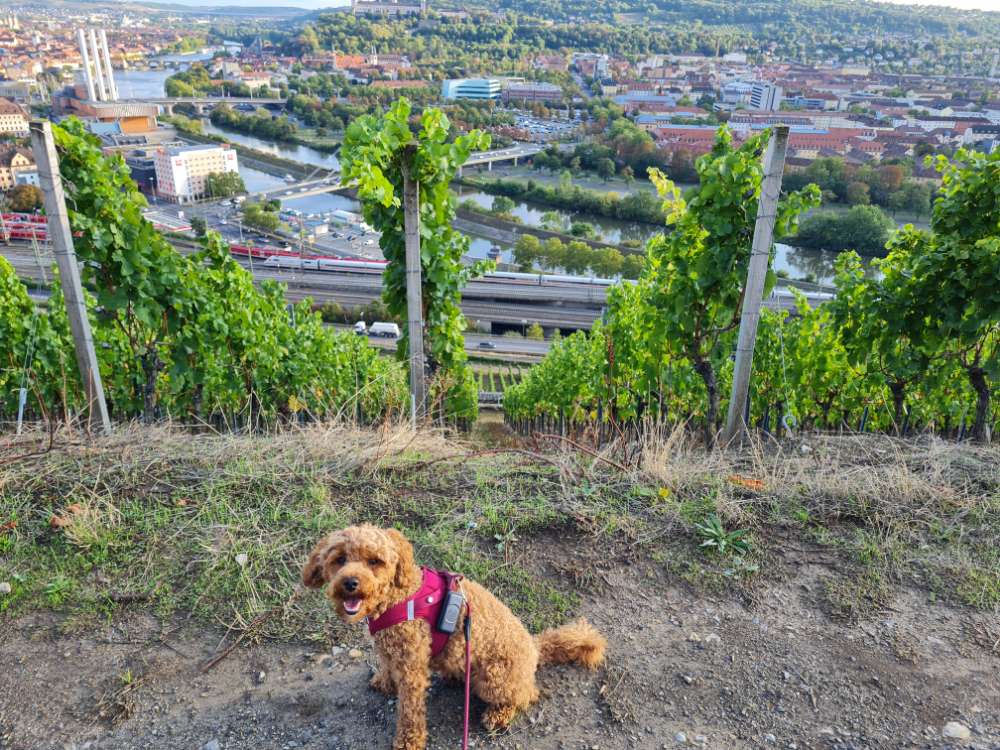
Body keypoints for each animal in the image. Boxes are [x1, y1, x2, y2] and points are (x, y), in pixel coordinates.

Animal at [300, 524, 604, 748]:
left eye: (375, 561)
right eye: (339, 559)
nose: (350, 583)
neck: (399, 596)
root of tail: (534, 646)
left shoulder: (412, 668)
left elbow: (409, 711)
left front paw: (408, 741)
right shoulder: (389, 649)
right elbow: (386, 667)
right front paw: (384, 683)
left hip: (494, 678)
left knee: (526, 695)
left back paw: (499, 713)